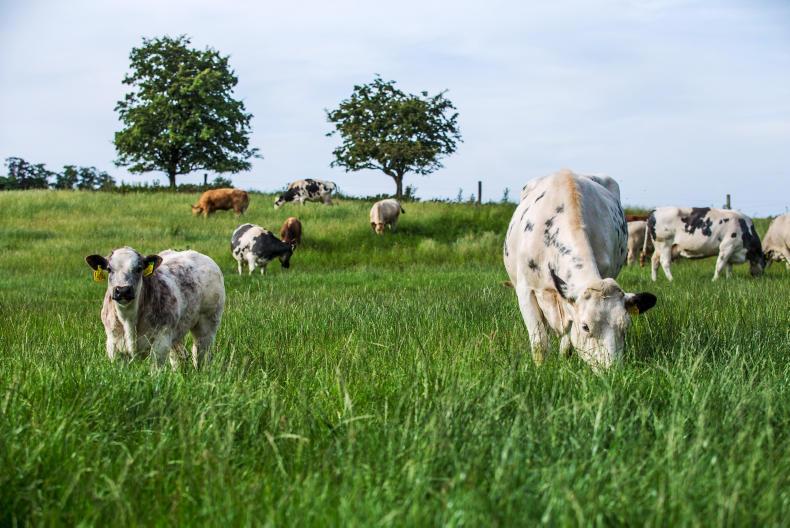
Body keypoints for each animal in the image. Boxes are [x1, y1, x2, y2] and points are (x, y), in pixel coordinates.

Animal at [85, 247, 225, 369]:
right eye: (109, 269)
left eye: (139, 268)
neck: (128, 319)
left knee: (200, 353)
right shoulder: (113, 345)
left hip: (208, 324)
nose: (123, 290)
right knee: (178, 357)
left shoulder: (161, 342)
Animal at [504, 169, 657, 370]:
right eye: (586, 327)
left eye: (625, 326)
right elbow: (539, 343)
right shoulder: (525, 290)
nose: (611, 370)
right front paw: (540, 369)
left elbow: (568, 341)